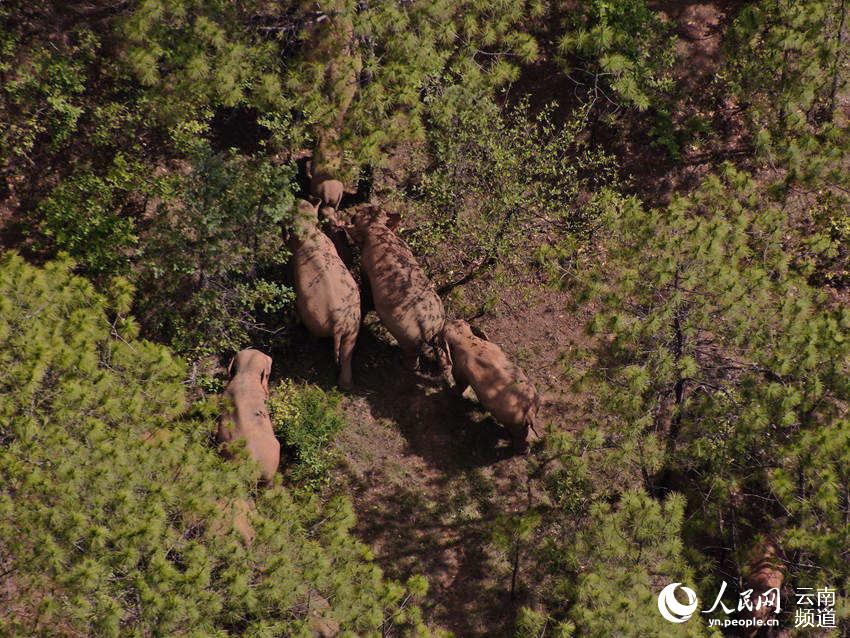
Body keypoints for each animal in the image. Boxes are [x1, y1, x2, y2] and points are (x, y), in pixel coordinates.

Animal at [290, 199, 361, 388]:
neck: (310, 233)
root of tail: (338, 323)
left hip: (315, 318)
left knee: (314, 334)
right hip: (353, 323)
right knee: (348, 350)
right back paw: (346, 385)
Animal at [347, 205, 452, 385]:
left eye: (359, 214)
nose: (353, 214)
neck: (378, 228)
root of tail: (429, 328)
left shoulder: (365, 263)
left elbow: (366, 283)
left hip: (409, 337)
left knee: (412, 360)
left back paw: (400, 365)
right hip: (439, 328)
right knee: (441, 352)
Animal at [442, 319, 541, 449]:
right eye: (460, 321)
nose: (446, 321)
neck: (466, 339)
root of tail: (529, 412)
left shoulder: (459, 366)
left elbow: (460, 383)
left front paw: (449, 390)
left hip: (514, 422)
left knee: (518, 436)